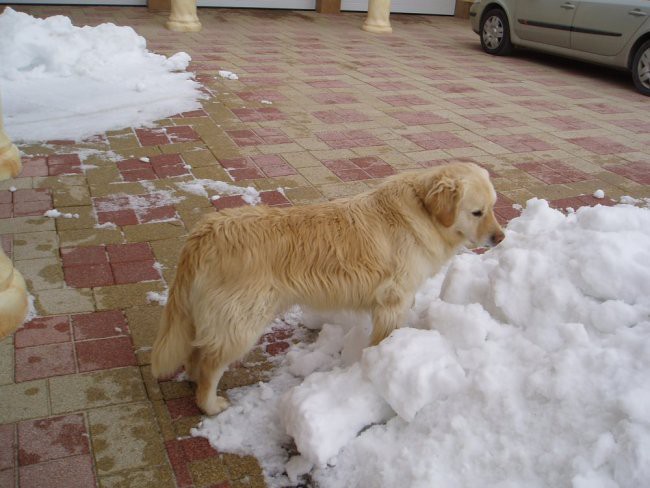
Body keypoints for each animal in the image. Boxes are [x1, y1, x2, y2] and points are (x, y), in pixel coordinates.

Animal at [151, 162, 502, 414]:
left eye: (493, 206)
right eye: (477, 212)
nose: (500, 238)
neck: (423, 212)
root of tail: (204, 233)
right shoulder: (392, 300)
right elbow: (384, 338)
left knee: (196, 351)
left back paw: (193, 379)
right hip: (241, 321)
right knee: (210, 362)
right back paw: (209, 404)